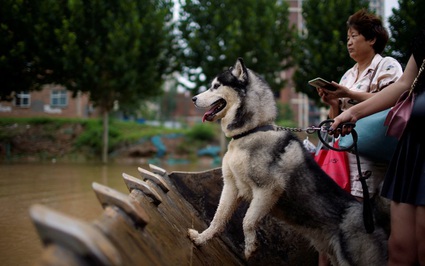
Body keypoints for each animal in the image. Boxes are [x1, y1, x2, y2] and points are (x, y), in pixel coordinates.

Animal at [189, 57, 388, 264]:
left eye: (215, 86)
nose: (193, 98)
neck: (251, 131)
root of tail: (374, 219)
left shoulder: (268, 189)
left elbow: (248, 220)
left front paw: (251, 246)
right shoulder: (231, 186)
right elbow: (218, 218)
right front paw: (201, 238)